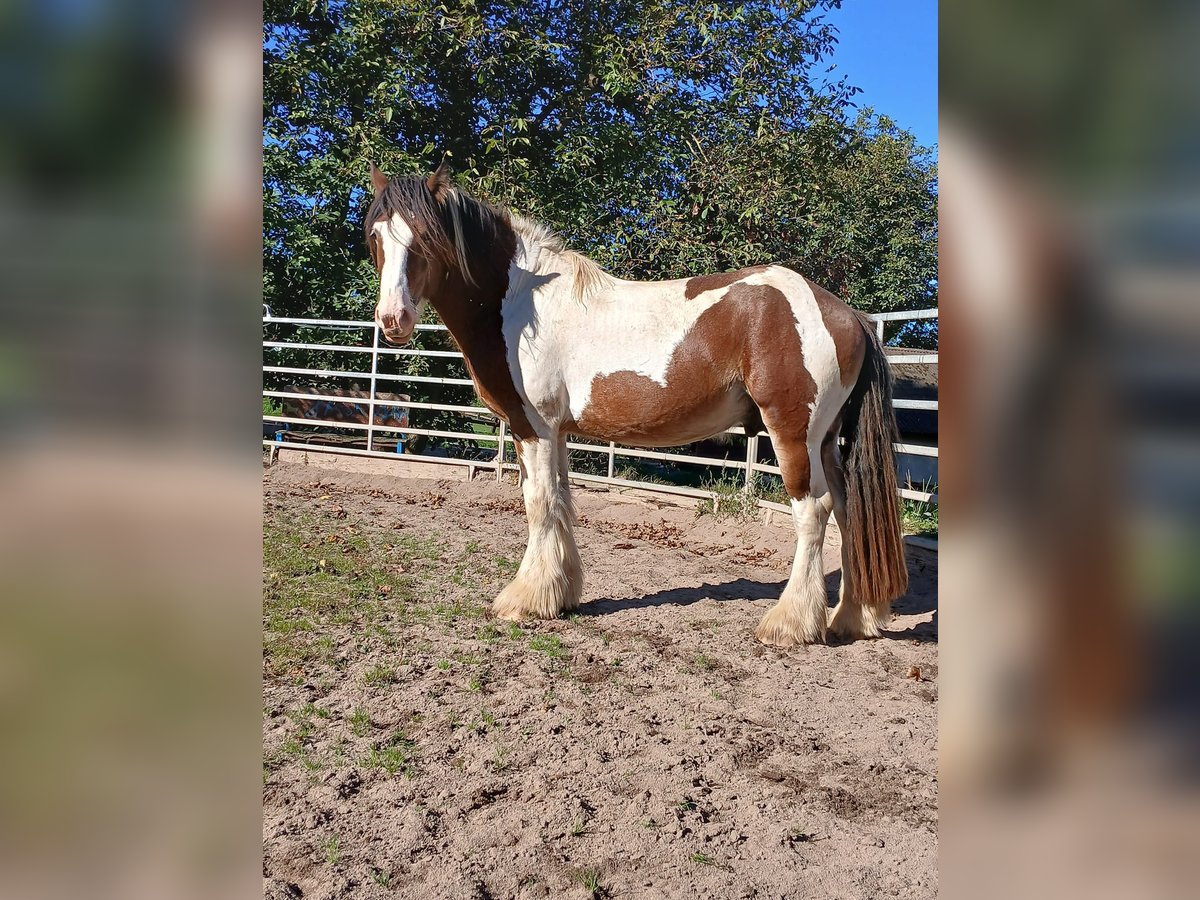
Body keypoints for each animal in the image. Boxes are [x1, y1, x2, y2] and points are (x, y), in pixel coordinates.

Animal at [367, 165, 907, 643]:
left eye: (425, 237)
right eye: (375, 238)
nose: (393, 320)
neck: (521, 304)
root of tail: (847, 315)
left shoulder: (533, 427)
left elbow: (539, 503)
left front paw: (524, 599)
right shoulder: (556, 432)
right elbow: (561, 501)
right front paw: (561, 595)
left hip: (794, 434)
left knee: (813, 511)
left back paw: (790, 624)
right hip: (827, 442)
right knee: (848, 513)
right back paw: (851, 618)